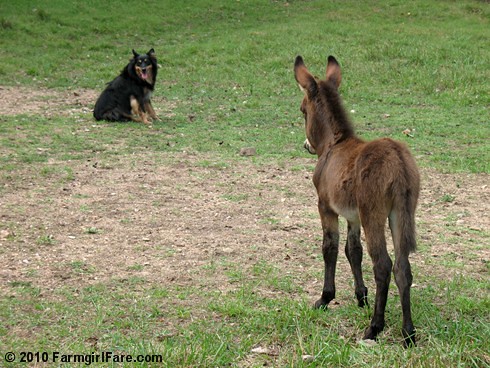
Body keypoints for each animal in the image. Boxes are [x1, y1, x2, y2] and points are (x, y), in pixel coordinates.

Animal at [294, 56, 422, 346]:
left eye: (302, 110)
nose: (307, 146)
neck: (334, 144)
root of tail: (398, 160)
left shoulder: (325, 207)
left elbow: (330, 247)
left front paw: (325, 298)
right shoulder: (353, 216)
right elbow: (353, 251)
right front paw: (360, 296)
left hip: (374, 215)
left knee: (383, 265)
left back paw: (374, 328)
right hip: (400, 214)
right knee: (402, 267)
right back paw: (408, 333)